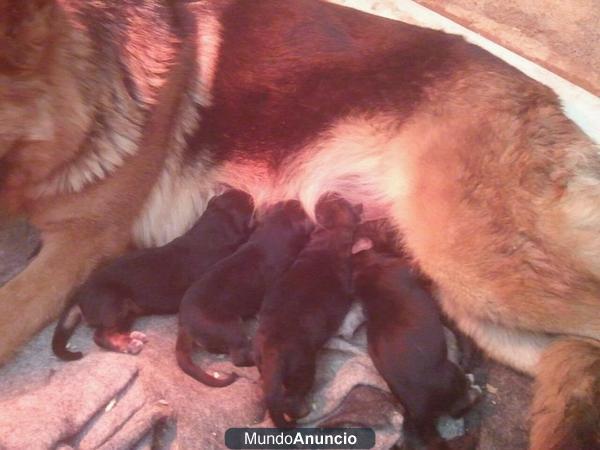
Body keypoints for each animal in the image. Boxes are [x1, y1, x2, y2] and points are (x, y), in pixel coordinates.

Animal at [52, 188, 255, 360]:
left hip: (126, 312)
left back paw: (131, 337)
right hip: (112, 303)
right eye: (249, 202)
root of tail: (79, 297)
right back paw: (128, 346)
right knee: (100, 335)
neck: (210, 230)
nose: (249, 193)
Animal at [175, 200, 312, 386]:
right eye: (301, 210)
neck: (271, 236)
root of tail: (184, 327)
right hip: (231, 328)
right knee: (238, 358)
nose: (296, 200)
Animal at [253, 194, 360, 426]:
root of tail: (273, 350)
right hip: (304, 369)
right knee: (291, 398)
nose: (328, 193)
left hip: (260, 361)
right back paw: (302, 412)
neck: (329, 240)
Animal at [352, 248, 478, 448]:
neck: (366, 270)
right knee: (457, 407)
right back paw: (472, 389)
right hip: (450, 372)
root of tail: (420, 415)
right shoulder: (410, 269)